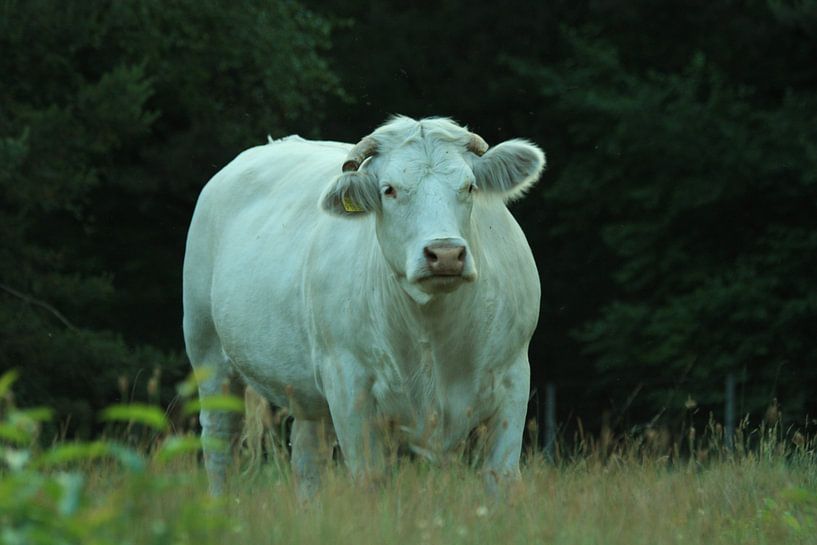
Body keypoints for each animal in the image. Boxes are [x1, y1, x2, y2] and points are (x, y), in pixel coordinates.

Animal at [182, 116, 545, 497]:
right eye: (389, 190)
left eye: (470, 186)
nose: (445, 253)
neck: (432, 330)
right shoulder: (348, 385)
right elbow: (370, 478)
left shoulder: (514, 378)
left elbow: (500, 477)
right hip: (208, 353)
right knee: (220, 446)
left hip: (306, 396)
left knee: (307, 460)